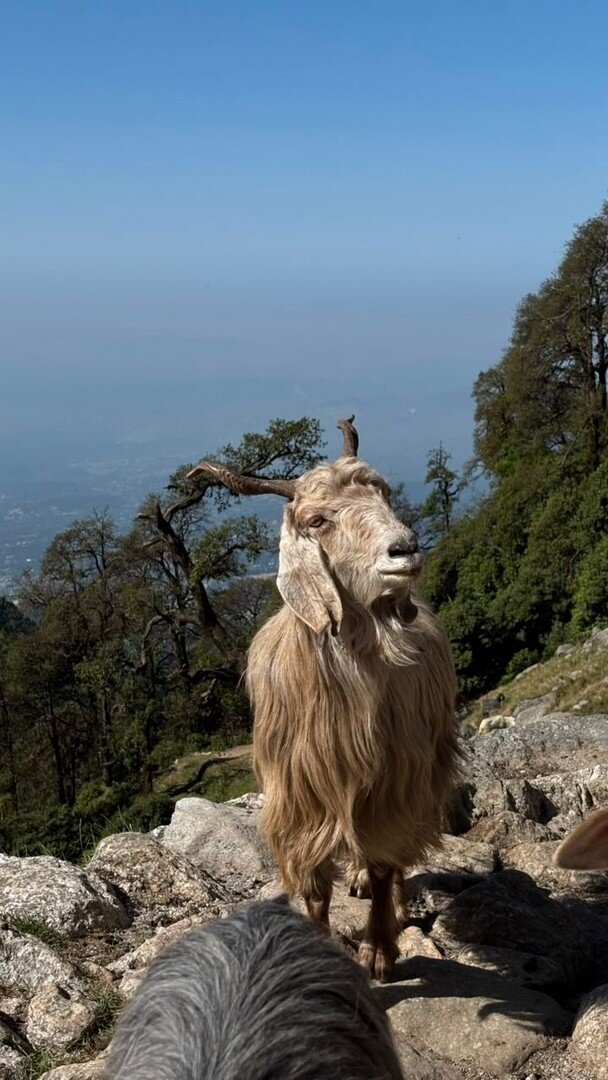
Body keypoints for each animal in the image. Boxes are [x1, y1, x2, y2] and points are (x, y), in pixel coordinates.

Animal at [188, 417, 461, 982]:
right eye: (317, 520)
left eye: (382, 494)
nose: (405, 549)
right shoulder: (299, 796)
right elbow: (314, 888)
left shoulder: (391, 784)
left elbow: (384, 863)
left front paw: (378, 949)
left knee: (394, 858)